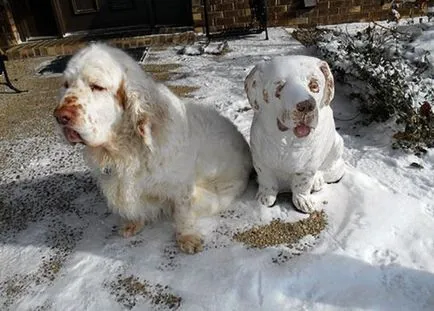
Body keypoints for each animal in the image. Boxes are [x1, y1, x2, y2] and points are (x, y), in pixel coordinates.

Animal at [53, 43, 253, 254]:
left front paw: (187, 238)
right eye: (66, 84)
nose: (60, 116)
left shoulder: (182, 187)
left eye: (97, 86)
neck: (126, 149)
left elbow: (183, 213)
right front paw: (132, 224)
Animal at [246, 54, 344, 213]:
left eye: (314, 86)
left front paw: (303, 201)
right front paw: (265, 198)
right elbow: (267, 179)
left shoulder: (308, 167)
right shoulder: (260, 160)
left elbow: (302, 184)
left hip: (337, 146)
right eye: (279, 87)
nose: (306, 105)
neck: (288, 142)